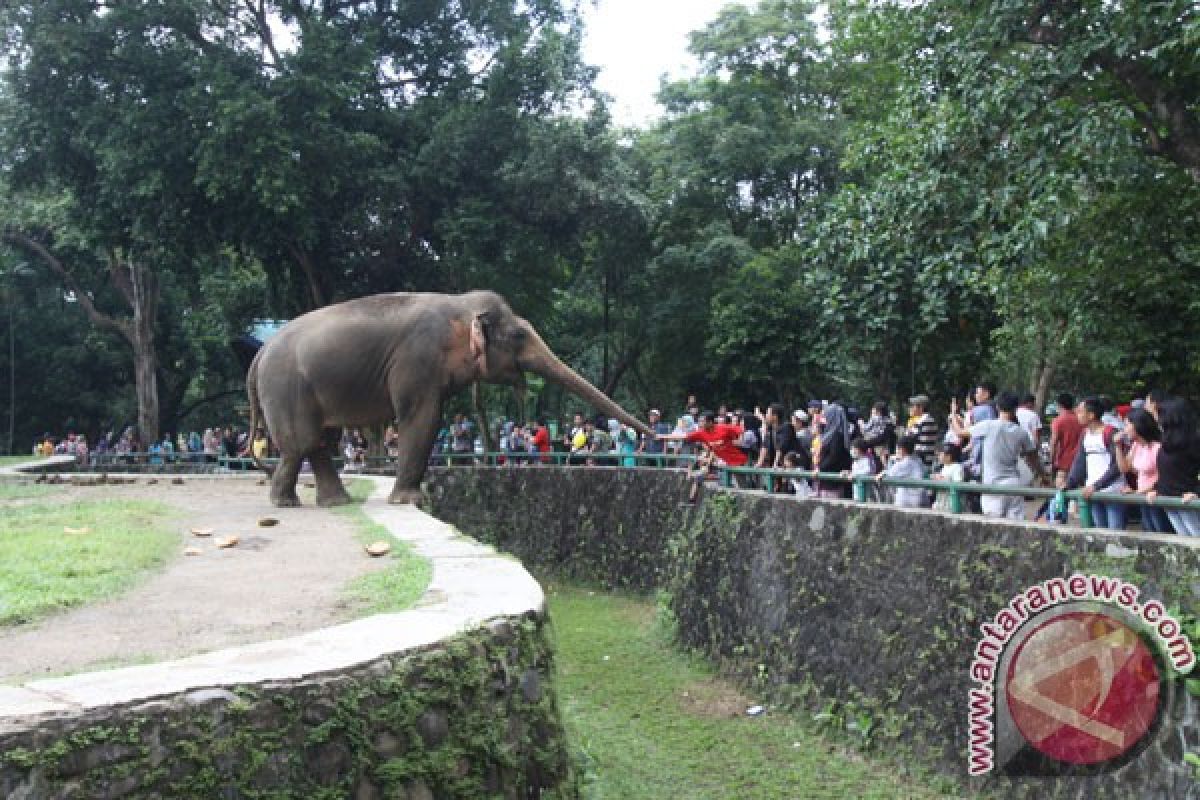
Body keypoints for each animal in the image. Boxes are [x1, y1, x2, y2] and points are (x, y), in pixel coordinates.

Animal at [243, 292, 652, 506]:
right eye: (519, 335)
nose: (657, 437)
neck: (459, 304)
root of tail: (259, 355)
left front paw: (415, 497)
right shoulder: (417, 360)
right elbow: (422, 419)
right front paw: (412, 500)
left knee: (317, 443)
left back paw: (332, 502)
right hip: (286, 388)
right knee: (302, 443)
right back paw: (286, 504)